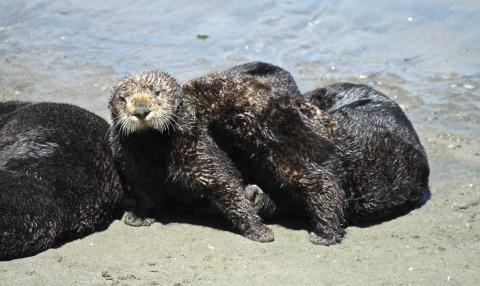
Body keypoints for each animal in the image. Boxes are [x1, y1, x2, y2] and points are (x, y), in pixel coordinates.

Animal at [109, 70, 274, 242]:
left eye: (157, 92)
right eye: (122, 99)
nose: (141, 110)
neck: (153, 142)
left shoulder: (200, 154)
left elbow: (227, 186)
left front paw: (258, 230)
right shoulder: (130, 161)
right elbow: (142, 191)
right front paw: (140, 216)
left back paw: (255, 195)